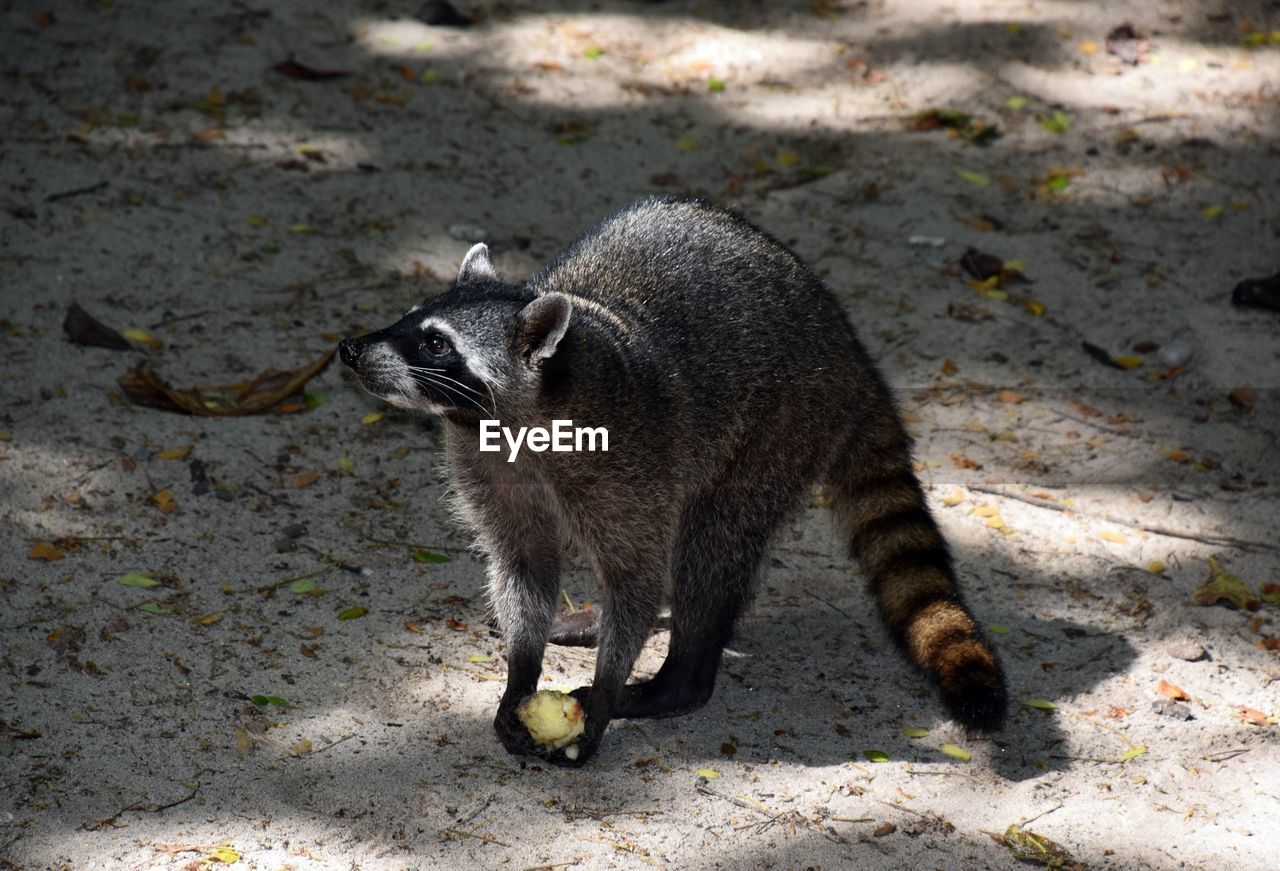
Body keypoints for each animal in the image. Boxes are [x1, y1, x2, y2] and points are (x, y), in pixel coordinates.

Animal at [340, 198, 1008, 768]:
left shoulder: (627, 460)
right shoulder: (485, 465)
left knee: (711, 544)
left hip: (780, 428)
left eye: (435, 344)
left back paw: (678, 679)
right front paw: (521, 672)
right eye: (408, 318)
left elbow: (636, 575)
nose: (350, 348)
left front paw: (606, 690)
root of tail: (851, 353)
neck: (510, 419)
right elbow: (524, 564)